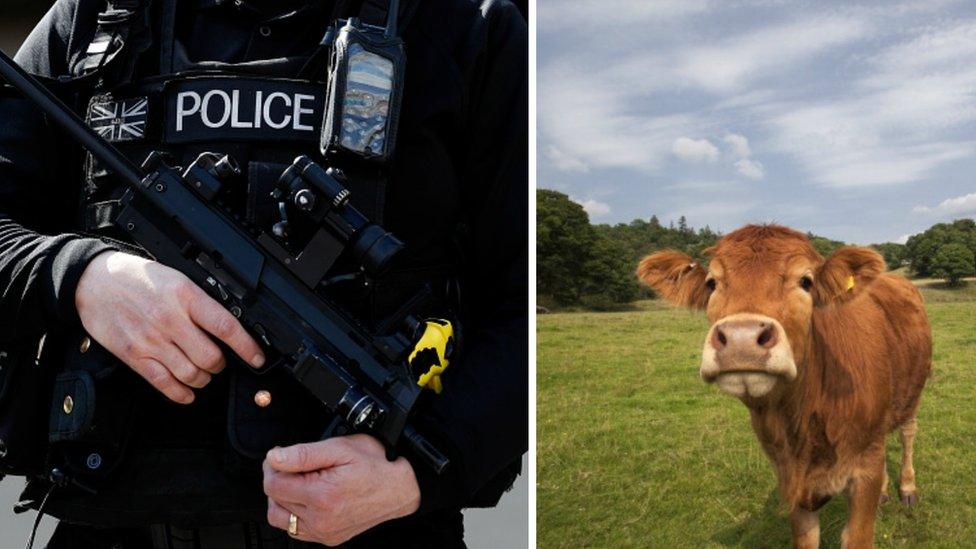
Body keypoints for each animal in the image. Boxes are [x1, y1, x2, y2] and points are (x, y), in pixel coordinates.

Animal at [632, 224, 932, 548]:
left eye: (805, 281)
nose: (741, 338)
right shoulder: (791, 481)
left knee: (907, 433)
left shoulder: (865, 471)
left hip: (914, 391)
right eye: (712, 283)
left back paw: (907, 487)